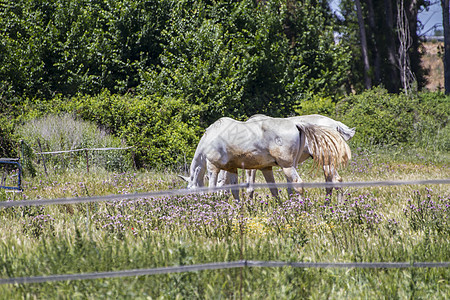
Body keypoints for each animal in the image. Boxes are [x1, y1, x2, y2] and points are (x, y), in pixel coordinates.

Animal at [179, 116, 348, 200]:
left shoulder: (213, 167)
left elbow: (213, 189)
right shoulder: (233, 168)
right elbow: (235, 191)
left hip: (289, 166)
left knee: (300, 184)